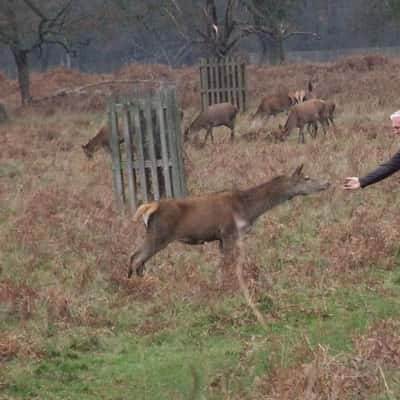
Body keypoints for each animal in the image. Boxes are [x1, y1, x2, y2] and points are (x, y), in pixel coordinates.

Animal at [127, 164, 328, 276]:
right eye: (306, 178)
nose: (327, 183)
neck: (249, 209)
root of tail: (149, 207)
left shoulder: (221, 238)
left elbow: (223, 263)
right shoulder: (230, 232)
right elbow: (229, 263)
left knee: (137, 258)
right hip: (159, 235)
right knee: (137, 258)